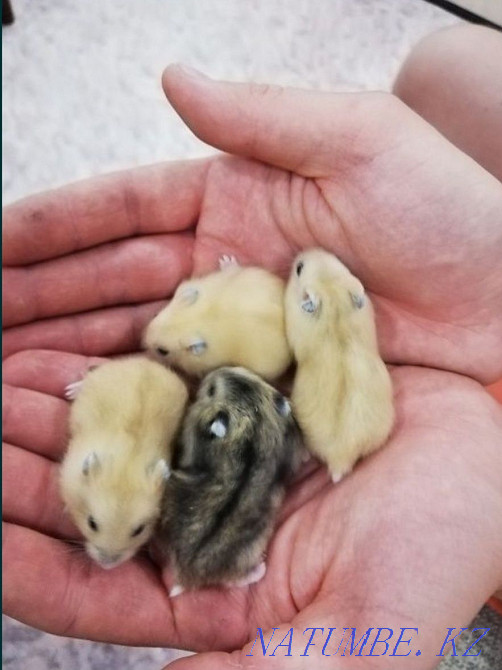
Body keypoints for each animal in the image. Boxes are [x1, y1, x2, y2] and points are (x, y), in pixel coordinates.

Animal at [60, 357, 188, 569]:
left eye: (139, 530)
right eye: (91, 523)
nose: (107, 565)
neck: (126, 464)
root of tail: (141, 361)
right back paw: (71, 390)